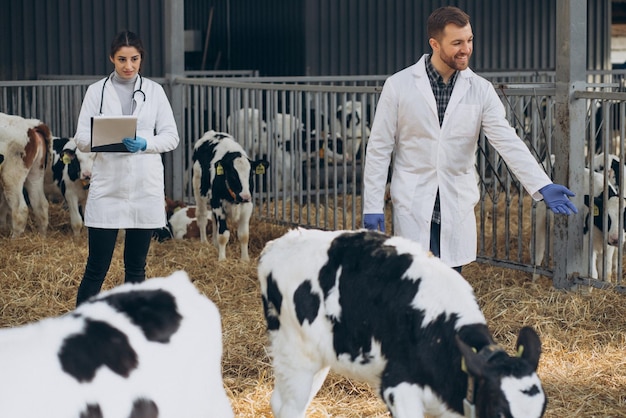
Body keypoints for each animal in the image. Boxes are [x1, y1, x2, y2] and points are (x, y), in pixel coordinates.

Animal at [256, 229, 544, 418]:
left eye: (542, 410)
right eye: (499, 413)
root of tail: (279, 244)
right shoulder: (398, 387)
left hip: (321, 355)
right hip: (295, 353)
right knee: (288, 408)